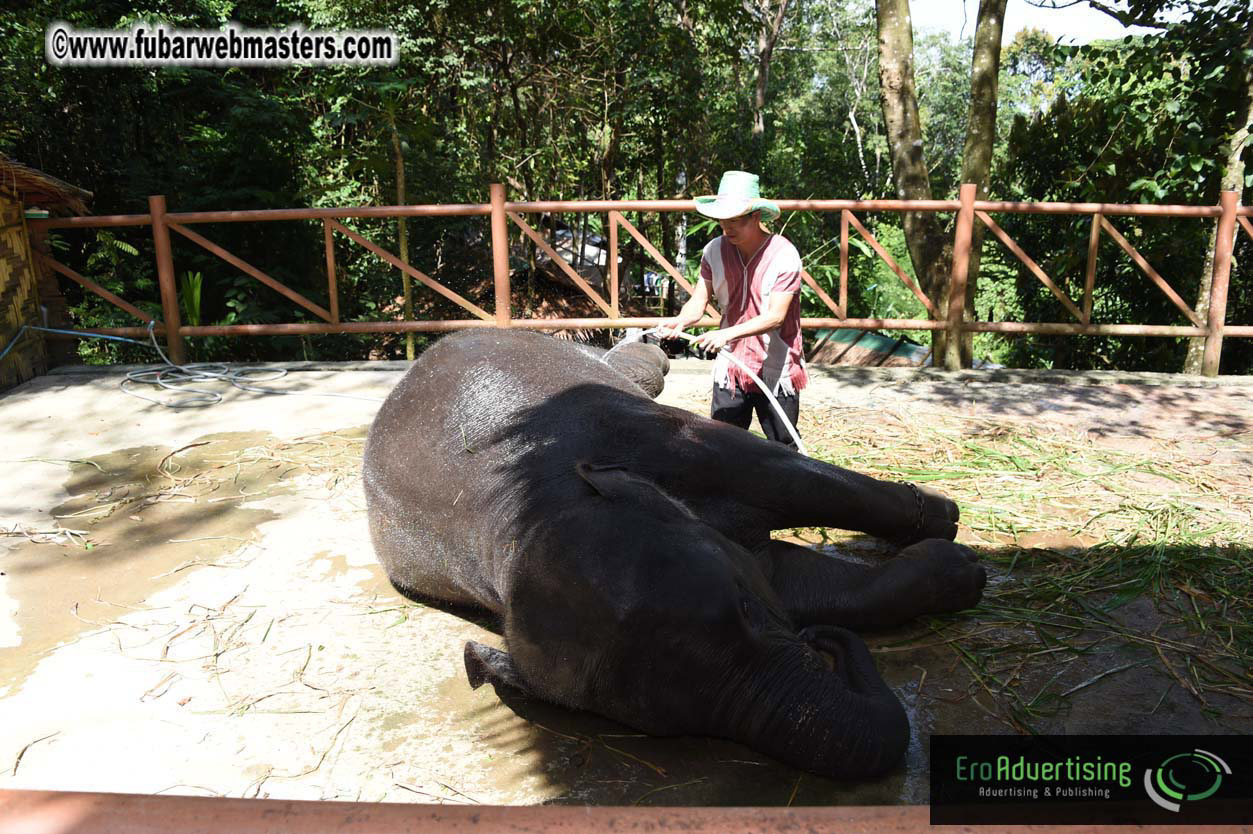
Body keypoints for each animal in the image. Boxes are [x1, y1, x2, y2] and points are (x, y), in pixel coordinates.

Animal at [363, 328, 985, 780]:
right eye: (671, 720)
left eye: (743, 609)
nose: (821, 644)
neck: (522, 511)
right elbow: (800, 580)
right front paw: (960, 570)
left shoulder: (664, 440)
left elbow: (793, 478)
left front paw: (948, 523)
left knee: (639, 369)